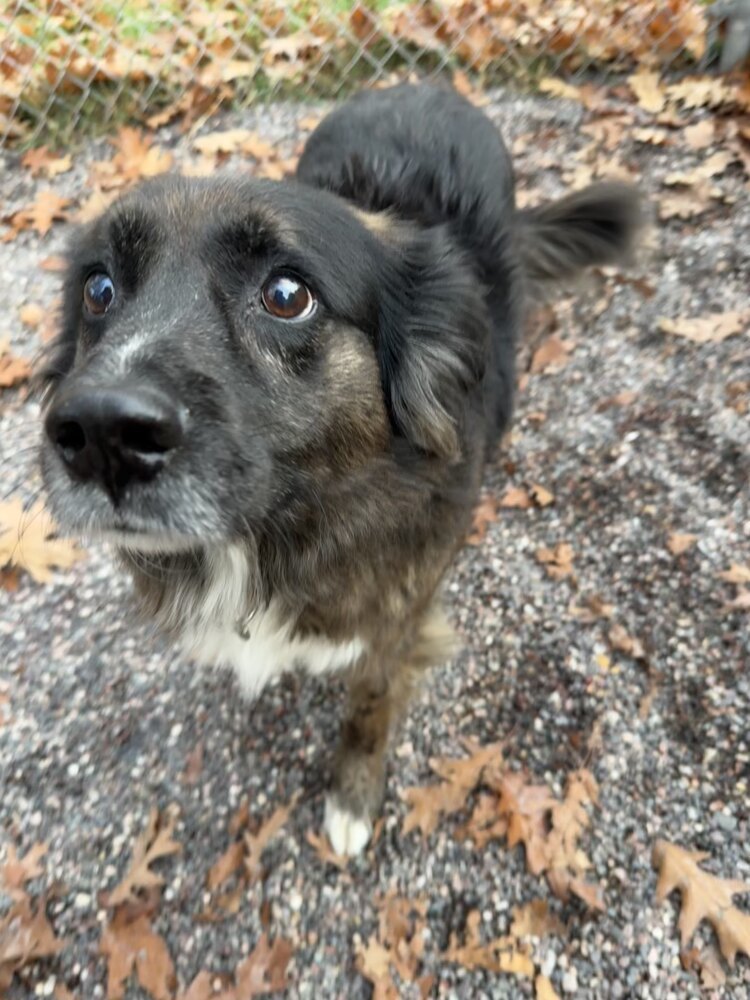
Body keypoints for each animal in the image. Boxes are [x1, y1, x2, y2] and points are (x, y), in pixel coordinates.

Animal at [39, 82, 640, 856]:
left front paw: (352, 796)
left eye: (287, 294)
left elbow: (369, 711)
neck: (280, 539)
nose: (101, 433)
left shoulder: (398, 624)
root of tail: (423, 84)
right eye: (100, 289)